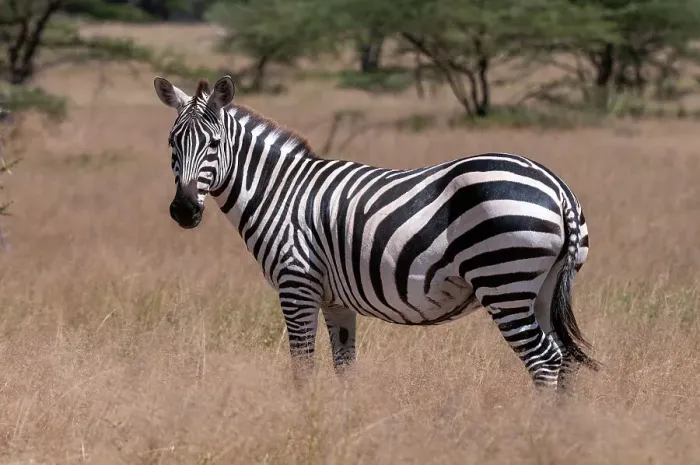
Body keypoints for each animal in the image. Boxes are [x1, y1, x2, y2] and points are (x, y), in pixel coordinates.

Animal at [153, 75, 600, 391]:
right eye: (172, 142)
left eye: (213, 143)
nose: (184, 211)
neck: (280, 192)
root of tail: (557, 187)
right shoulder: (334, 299)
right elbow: (344, 368)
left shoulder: (296, 284)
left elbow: (302, 368)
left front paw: (303, 422)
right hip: (542, 287)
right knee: (563, 359)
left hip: (503, 279)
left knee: (543, 360)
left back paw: (538, 433)